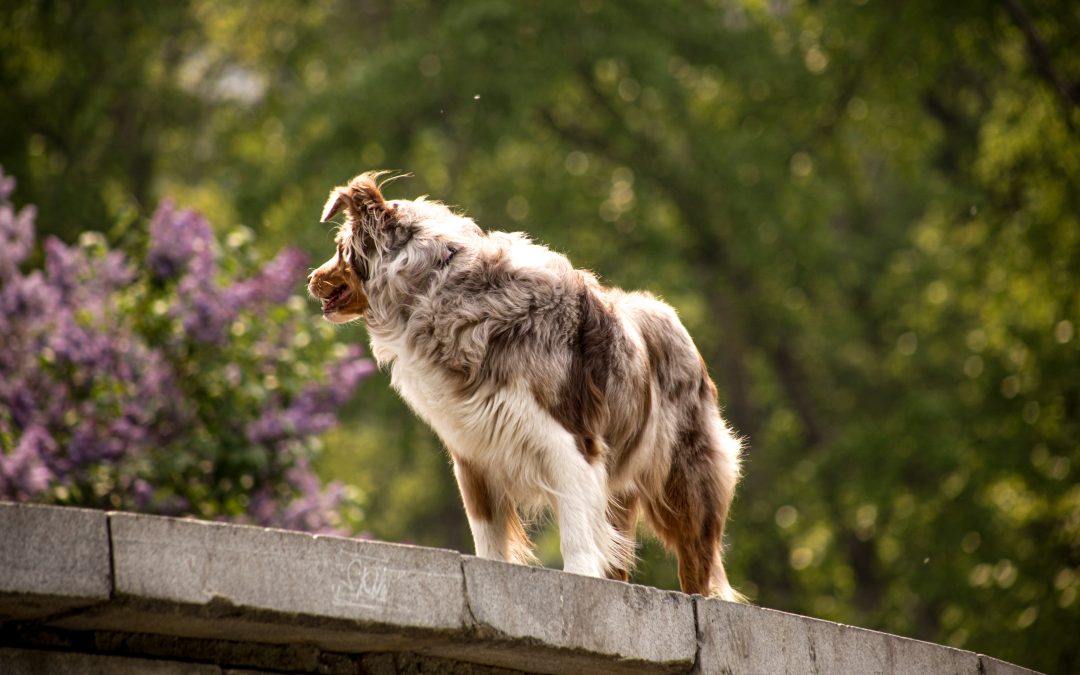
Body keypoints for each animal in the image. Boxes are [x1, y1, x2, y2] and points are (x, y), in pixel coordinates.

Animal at [304, 170, 743, 596]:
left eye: (340, 249)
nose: (310, 278)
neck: (438, 289)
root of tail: (673, 319)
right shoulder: (473, 453)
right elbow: (488, 535)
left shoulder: (571, 442)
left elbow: (576, 529)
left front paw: (580, 578)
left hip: (684, 480)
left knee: (697, 558)